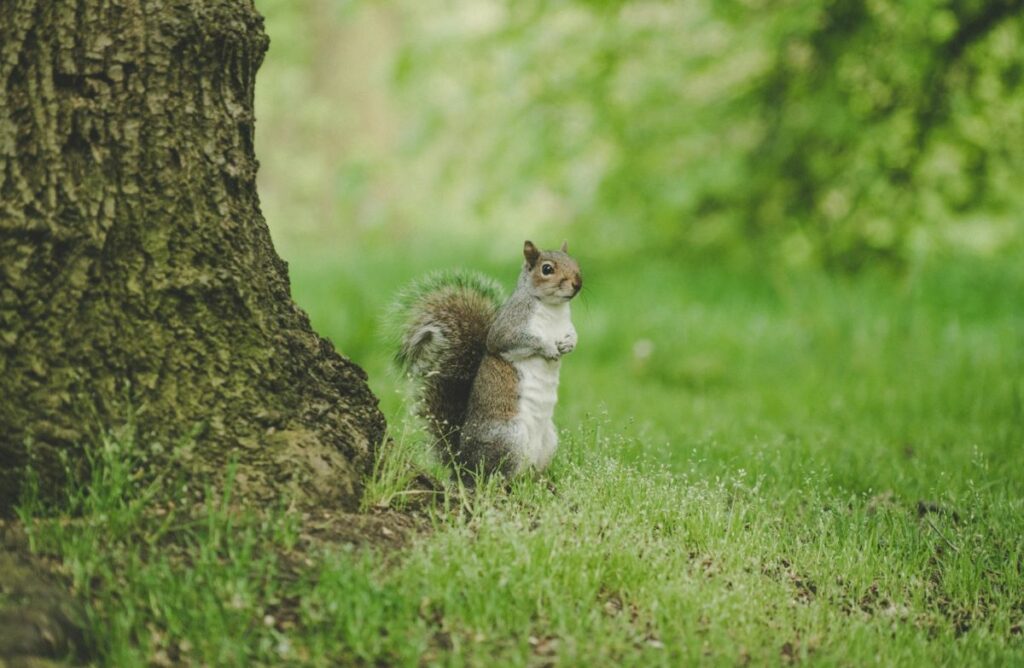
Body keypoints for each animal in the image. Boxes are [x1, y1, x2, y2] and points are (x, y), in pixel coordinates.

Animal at [393, 239, 585, 475]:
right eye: (547, 269)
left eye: (575, 262)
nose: (578, 283)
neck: (553, 309)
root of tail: (463, 463)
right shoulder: (507, 330)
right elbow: (521, 341)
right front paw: (548, 348)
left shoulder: (566, 325)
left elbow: (573, 335)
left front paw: (569, 344)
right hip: (509, 437)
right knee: (496, 475)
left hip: (548, 441)